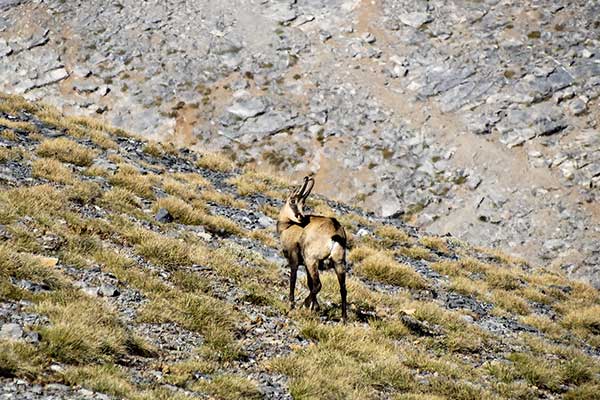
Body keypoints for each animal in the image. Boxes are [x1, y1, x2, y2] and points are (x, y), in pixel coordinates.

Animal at [276, 177, 346, 320]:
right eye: (293, 201)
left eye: (303, 204)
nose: (301, 217)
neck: (288, 227)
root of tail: (335, 230)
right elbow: (309, 283)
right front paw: (315, 307)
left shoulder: (294, 258)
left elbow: (293, 279)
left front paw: (292, 304)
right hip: (338, 263)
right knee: (342, 289)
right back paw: (344, 318)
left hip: (312, 259)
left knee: (318, 284)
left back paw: (303, 304)